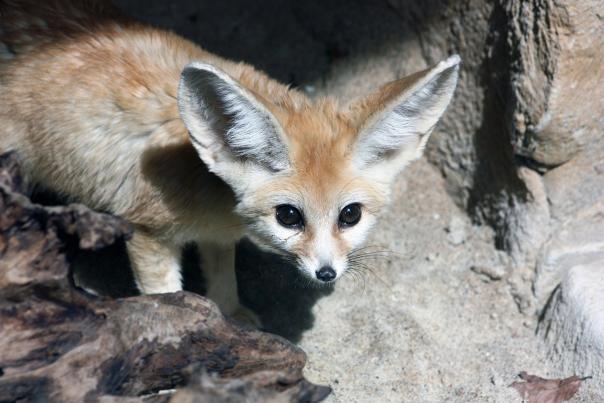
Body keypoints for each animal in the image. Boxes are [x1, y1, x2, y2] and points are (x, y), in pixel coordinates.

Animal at [0, 0, 460, 326]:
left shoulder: (217, 235)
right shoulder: (146, 232)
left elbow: (224, 278)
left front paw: (231, 319)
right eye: (288, 216)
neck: (208, 185)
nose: (327, 273)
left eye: (350, 215)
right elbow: (165, 296)